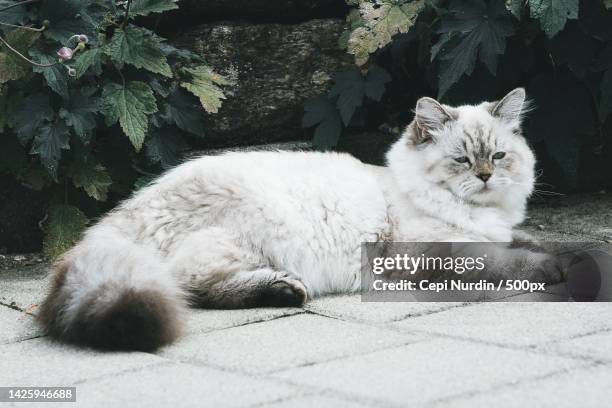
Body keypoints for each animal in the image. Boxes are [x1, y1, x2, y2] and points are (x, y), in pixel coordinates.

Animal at [39, 88, 560, 350]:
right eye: (461, 160)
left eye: (498, 155)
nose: (486, 176)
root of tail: (116, 218)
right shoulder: (443, 250)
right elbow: (514, 263)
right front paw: (557, 269)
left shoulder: (494, 234)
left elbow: (526, 243)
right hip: (253, 232)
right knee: (193, 285)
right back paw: (283, 289)